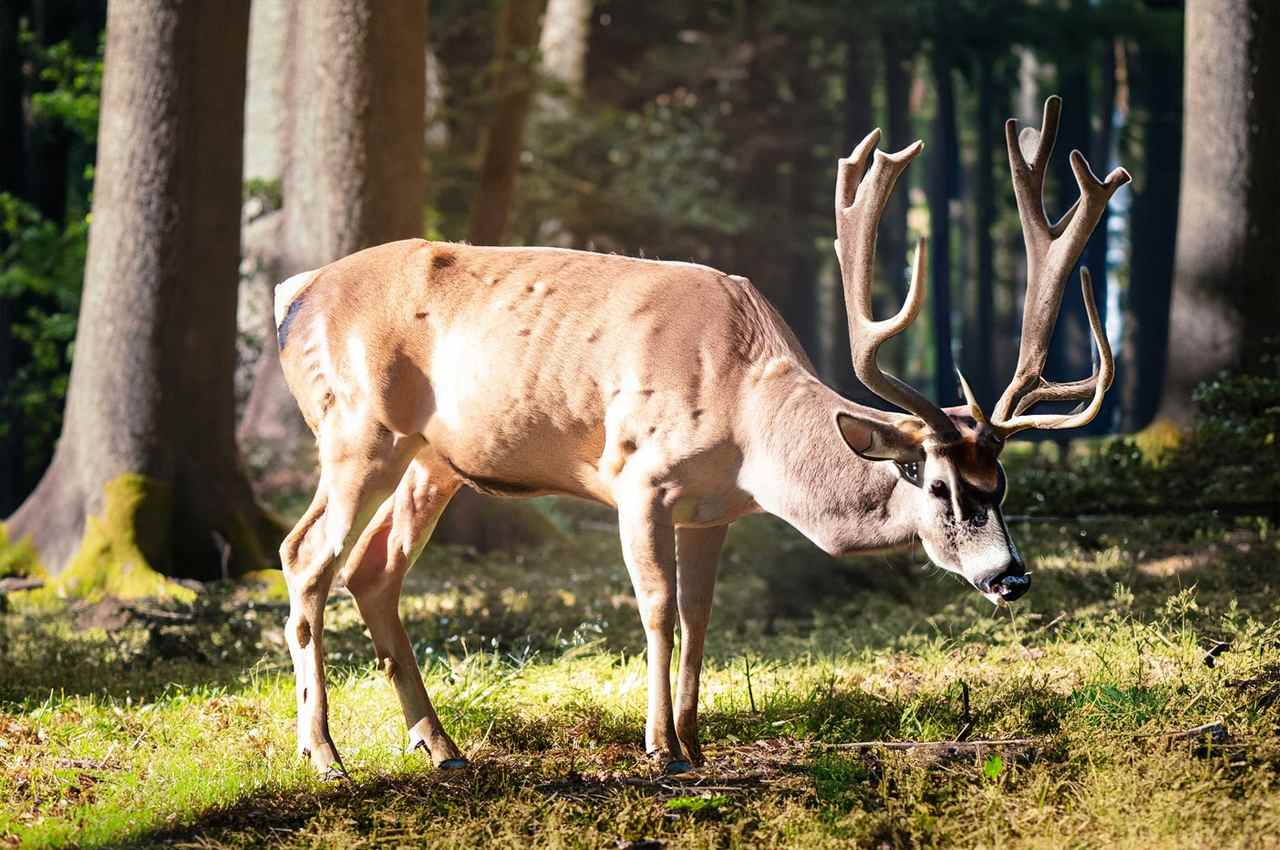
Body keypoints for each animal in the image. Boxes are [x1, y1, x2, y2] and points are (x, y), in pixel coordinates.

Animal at [272, 96, 1129, 778]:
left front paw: (694, 740)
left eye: (1003, 484)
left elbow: (700, 615)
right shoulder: (639, 478)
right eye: (942, 486)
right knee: (305, 553)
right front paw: (660, 749)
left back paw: (442, 747)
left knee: (374, 569)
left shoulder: (713, 511)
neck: (747, 421)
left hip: (434, 462)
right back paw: (324, 754)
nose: (1011, 576)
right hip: (356, 427)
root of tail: (294, 294)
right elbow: (655, 607)